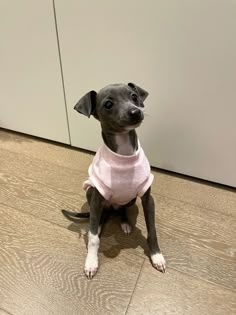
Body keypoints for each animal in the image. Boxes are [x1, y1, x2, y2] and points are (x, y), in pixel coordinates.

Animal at [62, 82, 166, 278]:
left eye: (134, 96)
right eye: (108, 104)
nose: (135, 112)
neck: (124, 154)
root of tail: (111, 207)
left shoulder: (147, 198)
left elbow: (152, 229)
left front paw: (156, 256)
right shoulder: (96, 197)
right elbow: (93, 238)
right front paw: (91, 262)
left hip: (130, 200)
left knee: (122, 209)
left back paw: (124, 222)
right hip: (91, 193)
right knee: (97, 220)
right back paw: (99, 224)